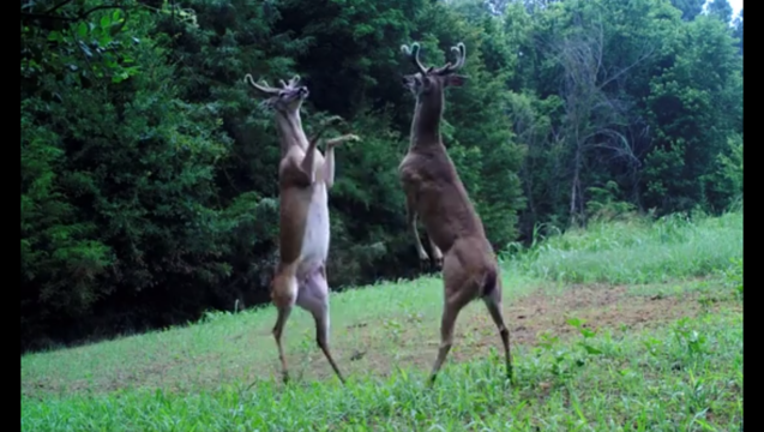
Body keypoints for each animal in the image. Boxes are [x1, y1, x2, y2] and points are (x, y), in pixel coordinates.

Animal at [244, 73, 360, 385]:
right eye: (282, 93)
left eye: (291, 86)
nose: (303, 88)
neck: (292, 148)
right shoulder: (299, 175)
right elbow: (316, 139)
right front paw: (329, 120)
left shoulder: (324, 180)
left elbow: (326, 148)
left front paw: (350, 135)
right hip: (286, 295)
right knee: (276, 330)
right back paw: (286, 377)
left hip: (321, 298)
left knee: (321, 338)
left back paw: (344, 378)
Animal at [397, 41, 513, 386]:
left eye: (418, 77)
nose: (404, 79)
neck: (423, 145)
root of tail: (488, 274)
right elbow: (422, 226)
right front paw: (434, 253)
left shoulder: (408, 182)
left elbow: (410, 222)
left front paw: (425, 256)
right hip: (495, 294)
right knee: (505, 328)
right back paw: (510, 373)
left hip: (453, 289)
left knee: (447, 338)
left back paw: (428, 381)